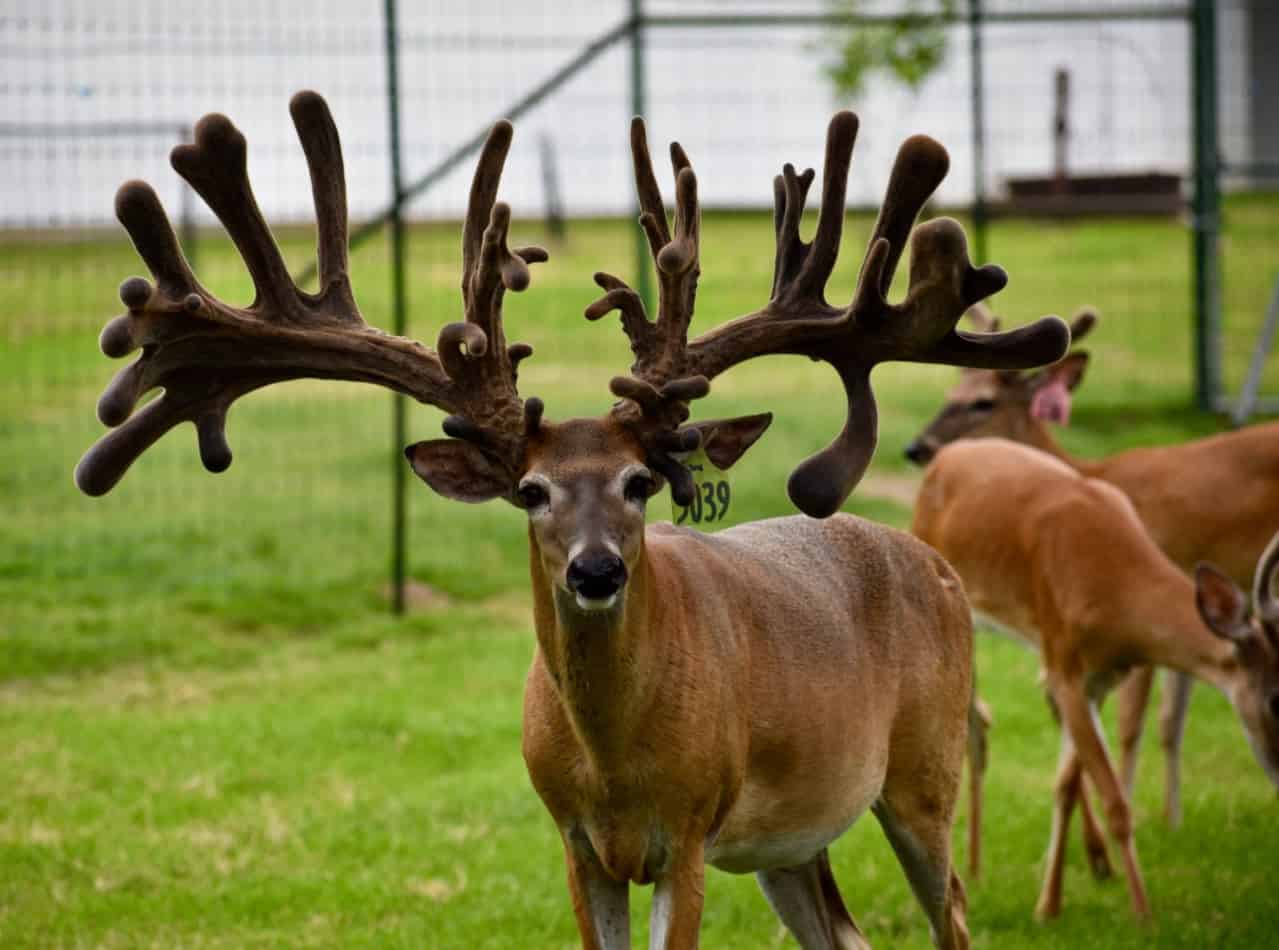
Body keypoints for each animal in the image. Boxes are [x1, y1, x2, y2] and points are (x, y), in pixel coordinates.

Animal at [74, 91, 1071, 948]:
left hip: (923, 766)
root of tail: (930, 560)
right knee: (846, 935)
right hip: (793, 839)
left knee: (954, 913)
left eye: (640, 483)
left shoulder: (688, 833)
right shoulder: (574, 845)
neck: (614, 761)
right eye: (531, 491)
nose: (596, 571)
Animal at [912, 437, 1279, 921]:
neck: (1115, 587)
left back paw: (975, 866)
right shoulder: (1066, 663)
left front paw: (1049, 904)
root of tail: (944, 456)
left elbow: (1067, 784)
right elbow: (1115, 799)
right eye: (1277, 698)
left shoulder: (1100, 678)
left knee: (982, 722)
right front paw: (1143, 914)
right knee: (974, 724)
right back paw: (968, 868)